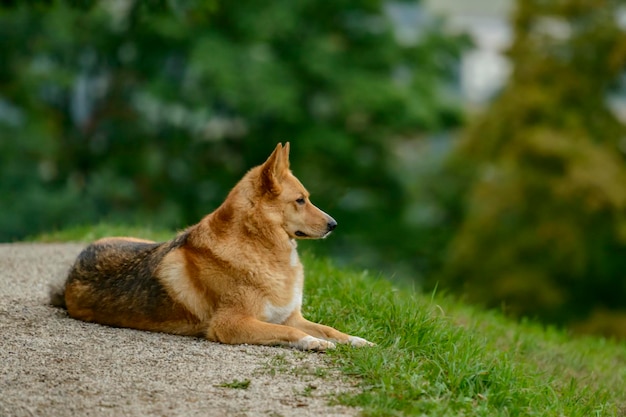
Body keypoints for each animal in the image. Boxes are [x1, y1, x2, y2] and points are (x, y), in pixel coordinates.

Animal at [52, 141, 370, 350]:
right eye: (300, 200)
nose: (334, 224)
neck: (259, 248)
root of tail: (71, 274)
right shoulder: (231, 324)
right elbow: (289, 333)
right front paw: (313, 342)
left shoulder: (292, 316)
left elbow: (329, 329)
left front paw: (356, 340)